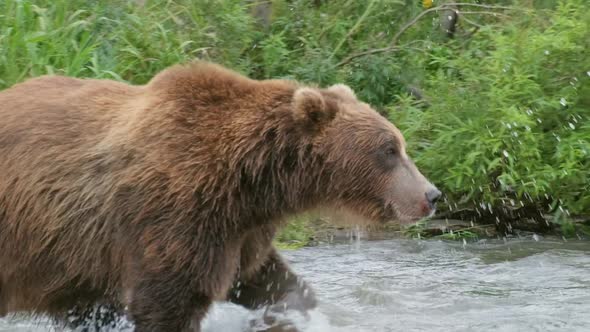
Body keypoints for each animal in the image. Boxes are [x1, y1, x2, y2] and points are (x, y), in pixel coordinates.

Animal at [0, 61, 442, 330]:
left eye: (399, 143)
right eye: (389, 150)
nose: (432, 194)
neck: (250, 178)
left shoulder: (240, 228)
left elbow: (262, 278)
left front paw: (292, 312)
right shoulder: (174, 211)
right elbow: (170, 300)